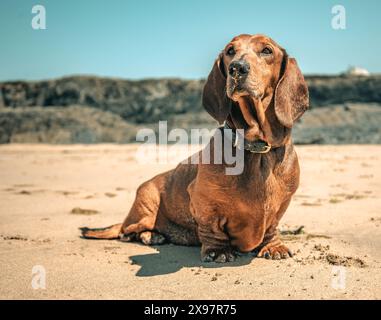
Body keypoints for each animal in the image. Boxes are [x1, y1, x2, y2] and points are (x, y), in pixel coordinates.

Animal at [81, 33, 308, 262]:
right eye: (230, 51)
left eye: (267, 50)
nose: (236, 68)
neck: (256, 149)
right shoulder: (202, 200)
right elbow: (212, 227)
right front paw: (218, 250)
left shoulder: (281, 204)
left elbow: (271, 225)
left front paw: (273, 245)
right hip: (146, 204)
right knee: (126, 232)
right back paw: (150, 235)